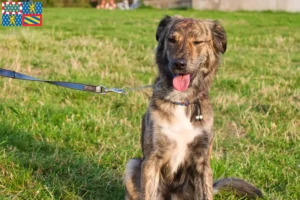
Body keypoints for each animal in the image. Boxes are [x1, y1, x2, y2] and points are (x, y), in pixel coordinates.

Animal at [124, 16, 262, 200]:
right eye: (172, 40)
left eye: (197, 42)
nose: (179, 64)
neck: (182, 100)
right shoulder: (151, 159)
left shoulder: (202, 161)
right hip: (132, 164)